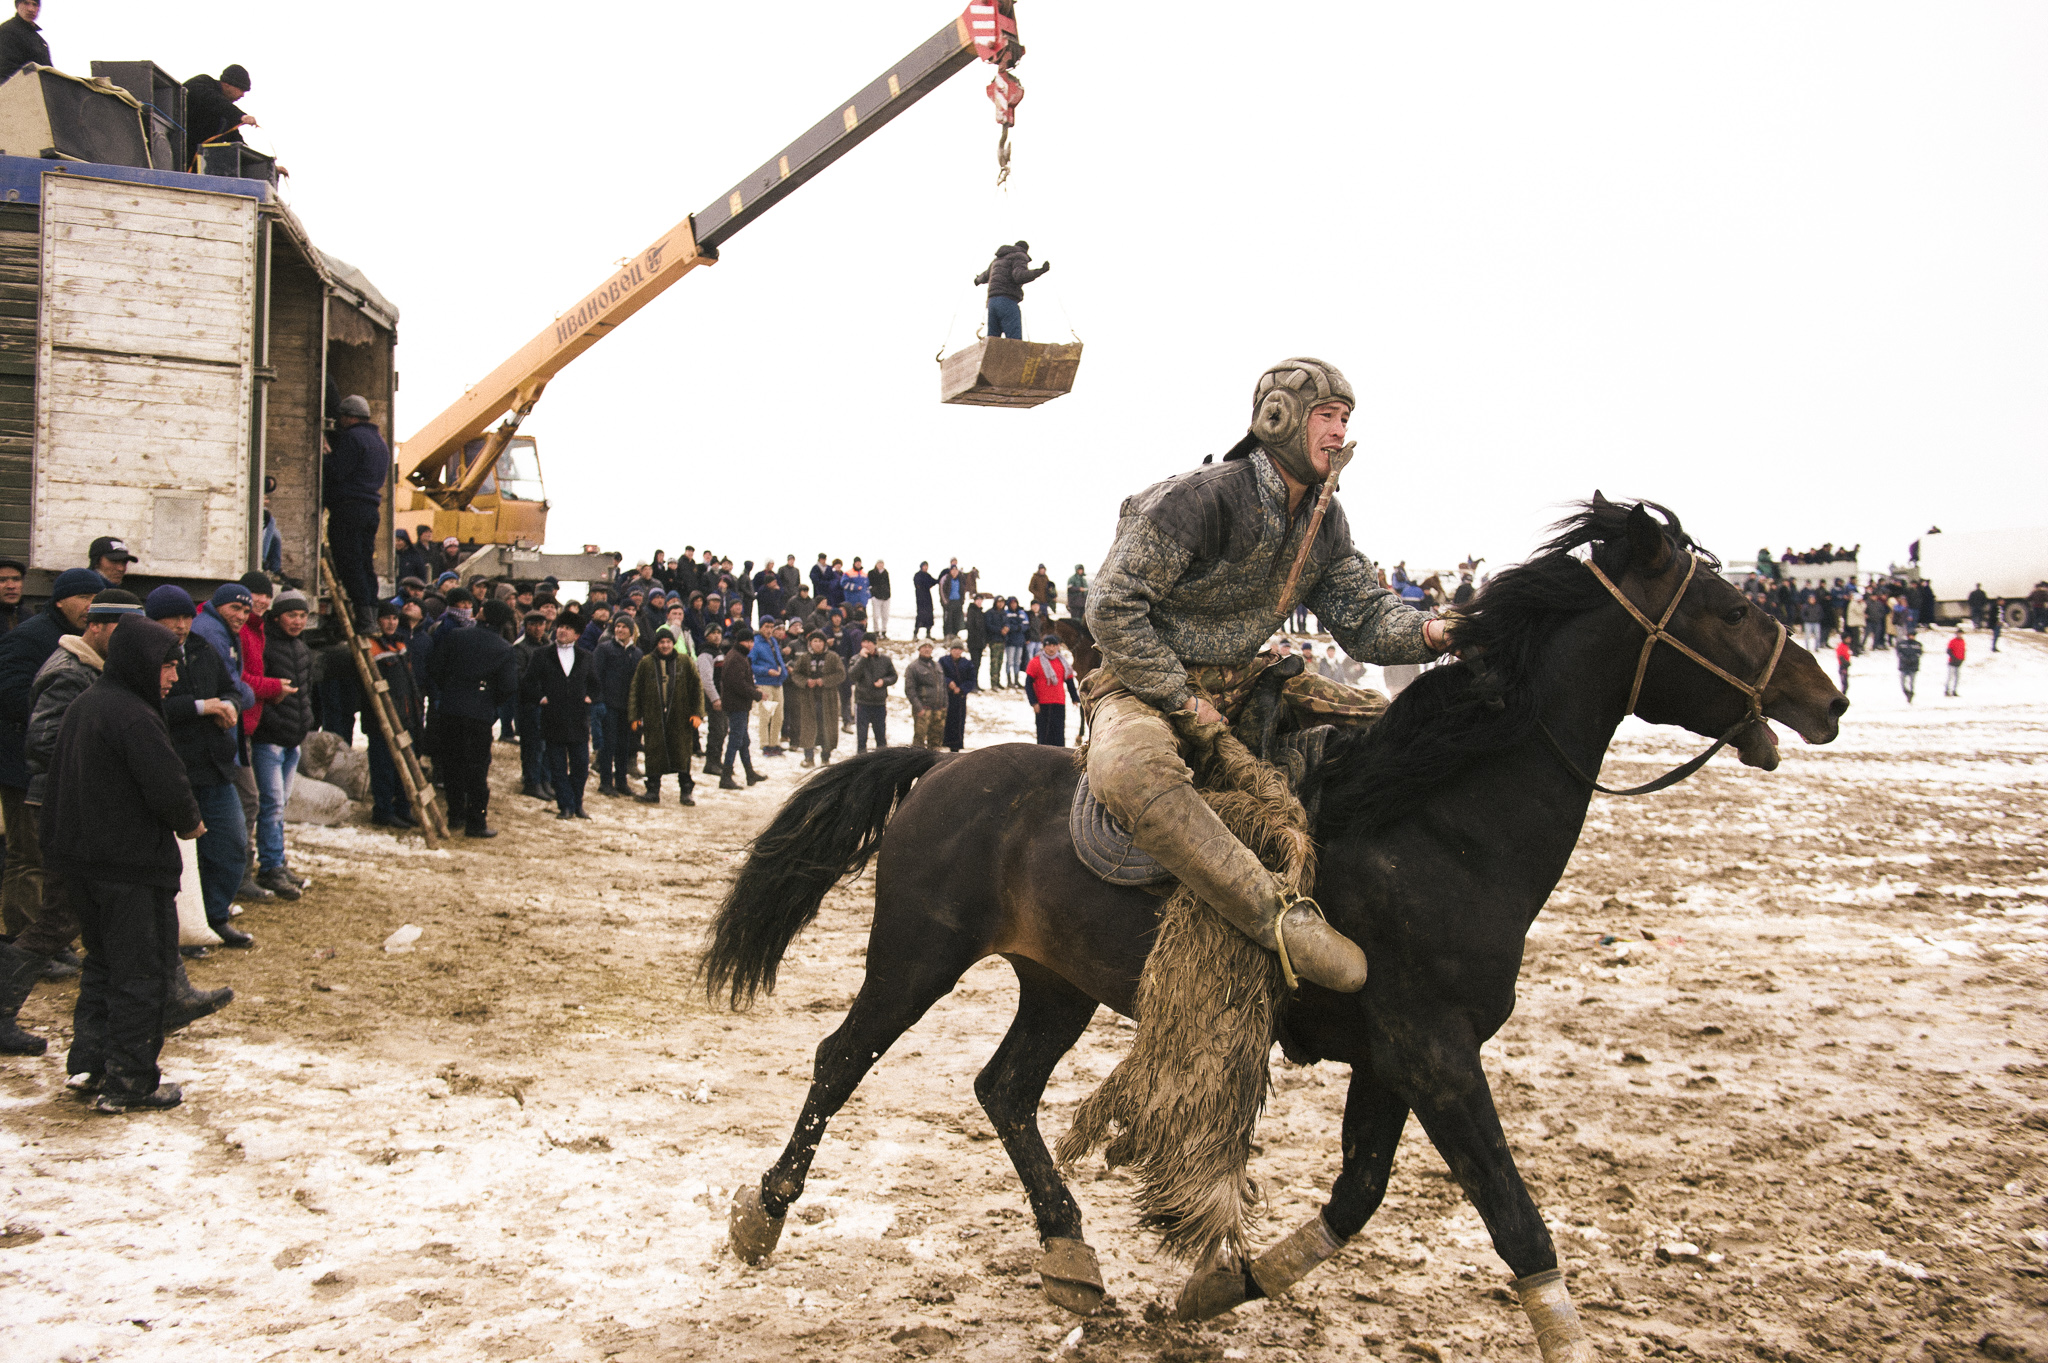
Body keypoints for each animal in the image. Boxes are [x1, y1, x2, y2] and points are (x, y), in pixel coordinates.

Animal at [708, 497, 1859, 1350]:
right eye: (1726, 608)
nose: (1828, 699)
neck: (1438, 823)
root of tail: (940, 765)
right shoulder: (1433, 1051)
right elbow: (1513, 1216)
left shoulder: (1395, 1060)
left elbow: (1357, 1194)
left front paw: (1212, 1288)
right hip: (917, 954)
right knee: (840, 1058)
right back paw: (762, 1216)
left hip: (1057, 983)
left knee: (1005, 1088)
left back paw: (1072, 1254)